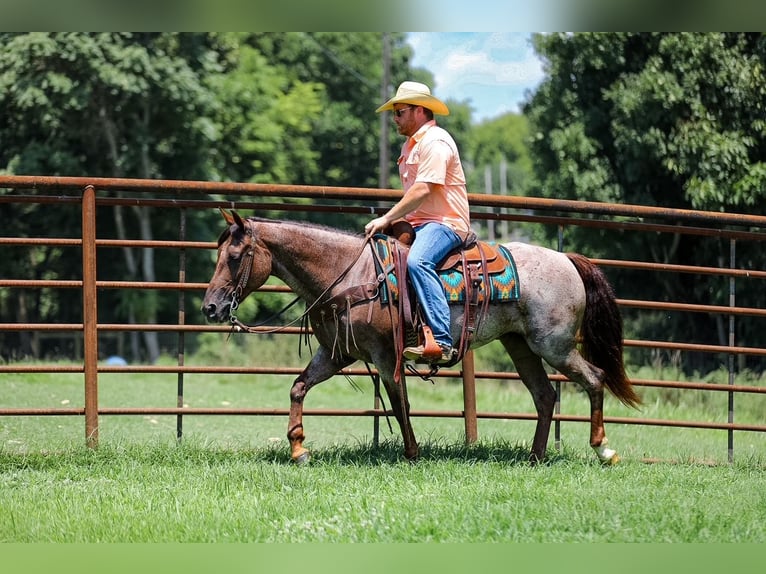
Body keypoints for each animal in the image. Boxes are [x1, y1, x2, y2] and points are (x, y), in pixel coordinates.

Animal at [201, 210, 640, 465]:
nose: (211, 308)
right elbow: (298, 387)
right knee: (545, 396)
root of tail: (567, 259)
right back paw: (535, 456)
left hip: (555, 345)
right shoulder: (338, 354)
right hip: (520, 346)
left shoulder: (383, 354)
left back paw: (603, 449)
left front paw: (411, 454)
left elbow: (400, 403)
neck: (350, 273)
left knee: (594, 379)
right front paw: (298, 449)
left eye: (235, 257)